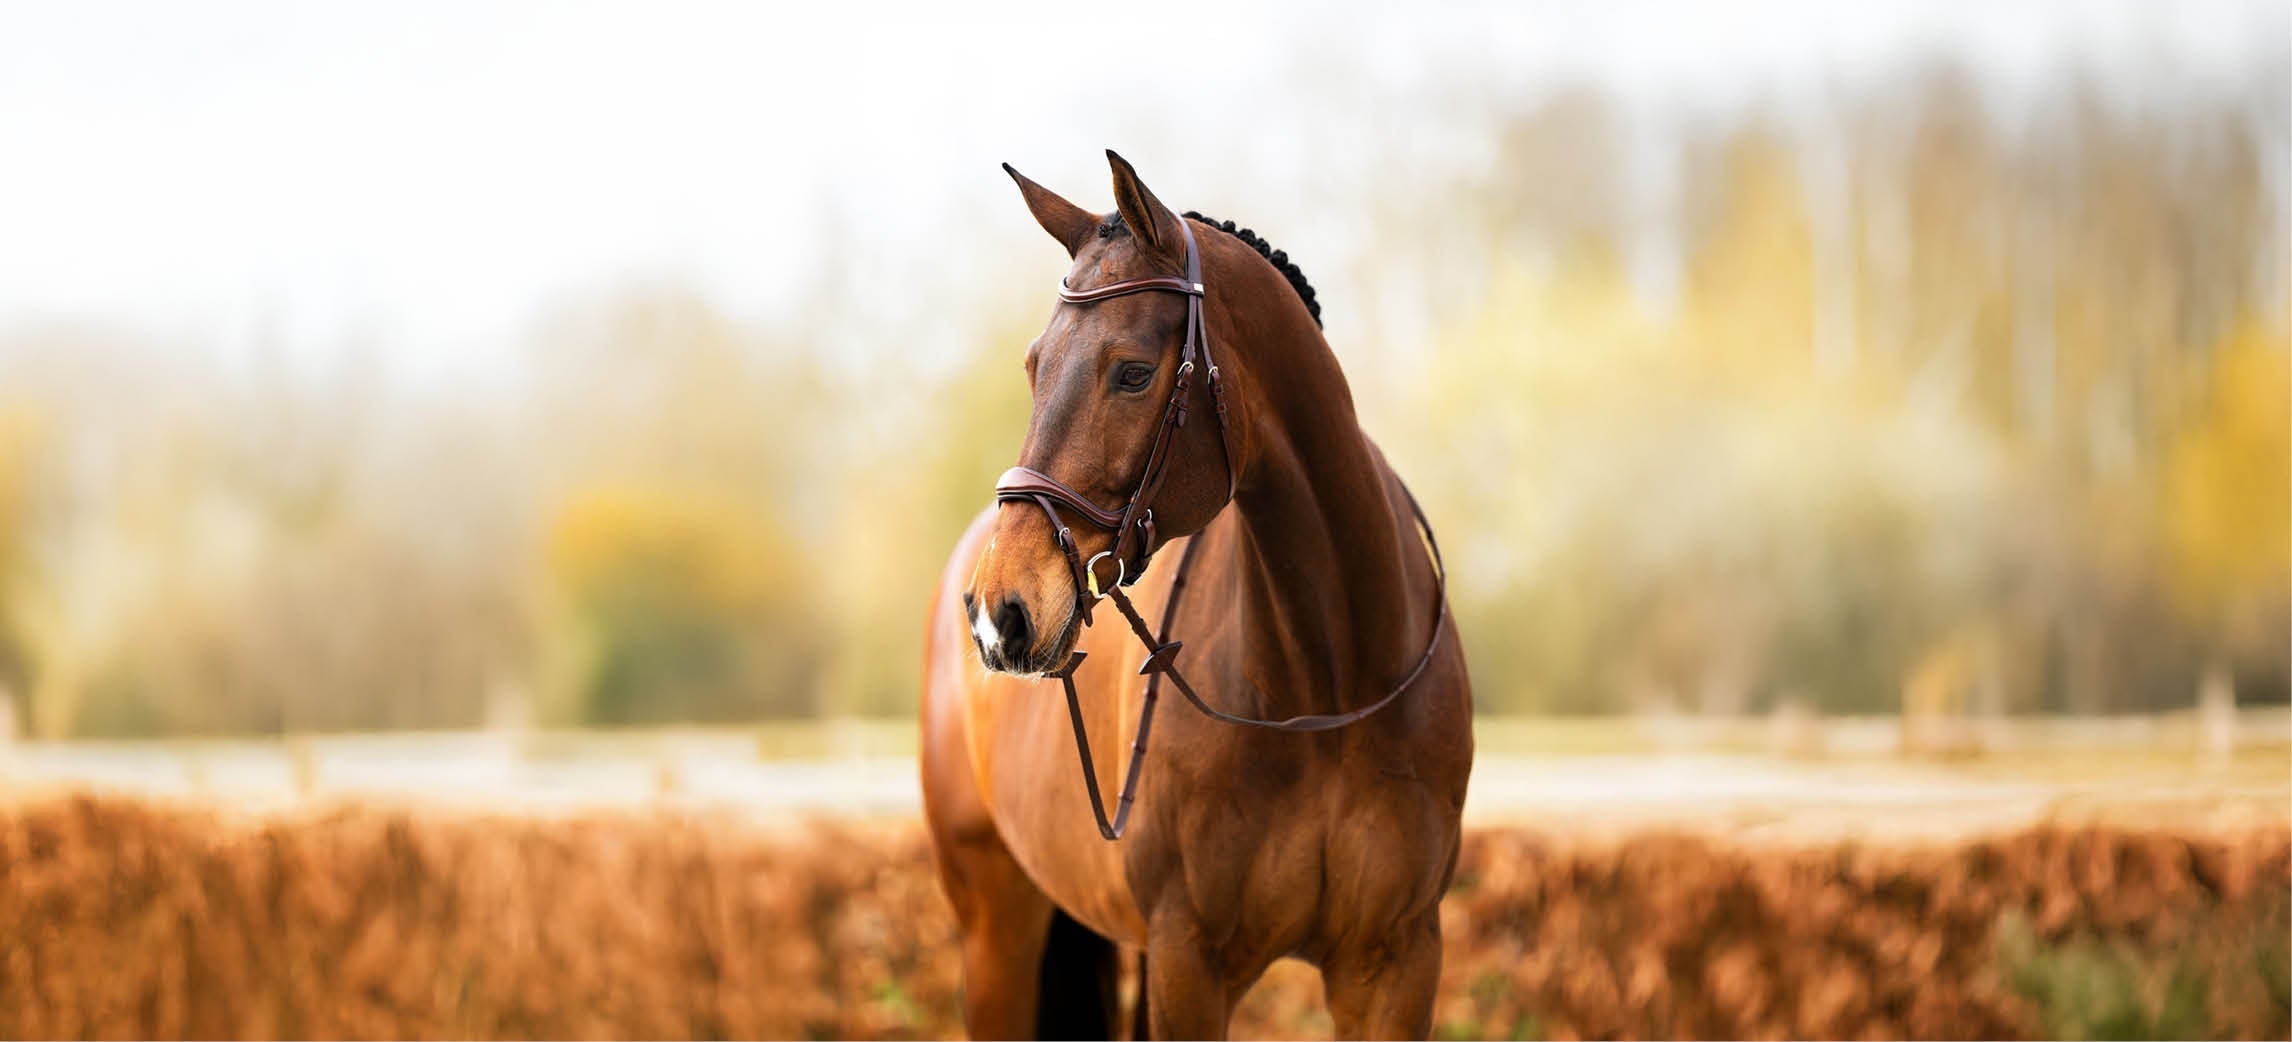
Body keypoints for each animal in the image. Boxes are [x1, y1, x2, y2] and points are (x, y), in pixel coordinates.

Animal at [920, 151, 1473, 1040]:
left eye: (1133, 373)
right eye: (1036, 366)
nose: (1001, 615)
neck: (1327, 694)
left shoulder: (1395, 964)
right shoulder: (1191, 963)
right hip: (995, 930)